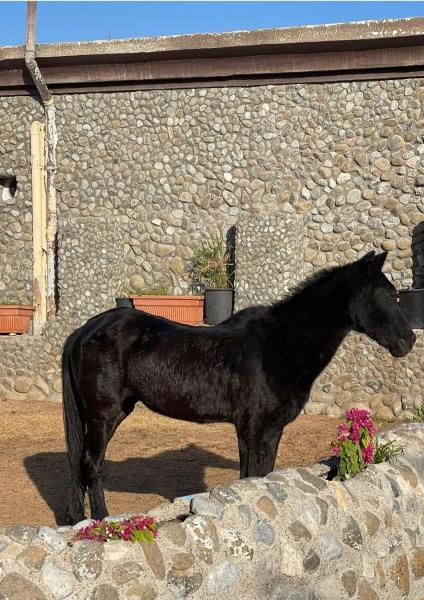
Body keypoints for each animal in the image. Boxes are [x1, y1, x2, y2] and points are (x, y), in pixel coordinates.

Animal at [62, 251, 415, 524]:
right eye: (386, 294)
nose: (409, 341)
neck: (279, 346)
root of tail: (84, 330)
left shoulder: (272, 429)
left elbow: (263, 475)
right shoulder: (251, 426)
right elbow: (248, 475)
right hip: (102, 416)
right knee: (92, 465)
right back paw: (101, 520)